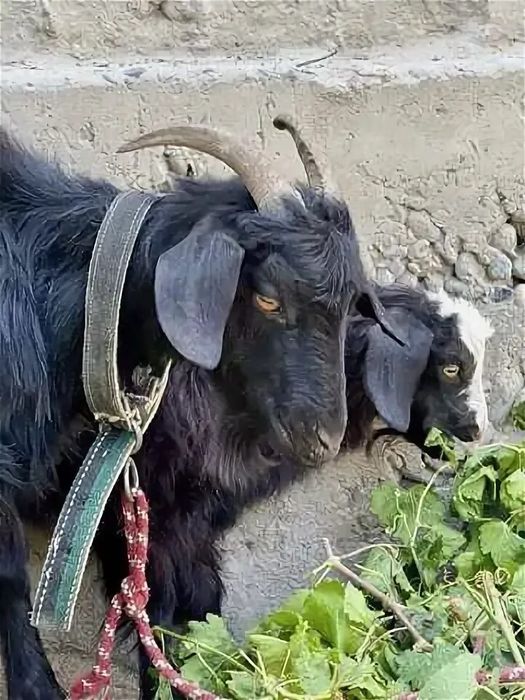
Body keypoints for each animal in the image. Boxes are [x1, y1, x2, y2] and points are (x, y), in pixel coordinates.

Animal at [0, 116, 429, 700]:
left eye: (347, 307)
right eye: (268, 298)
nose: (323, 437)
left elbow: (171, 602)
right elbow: (14, 578)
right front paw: (38, 688)